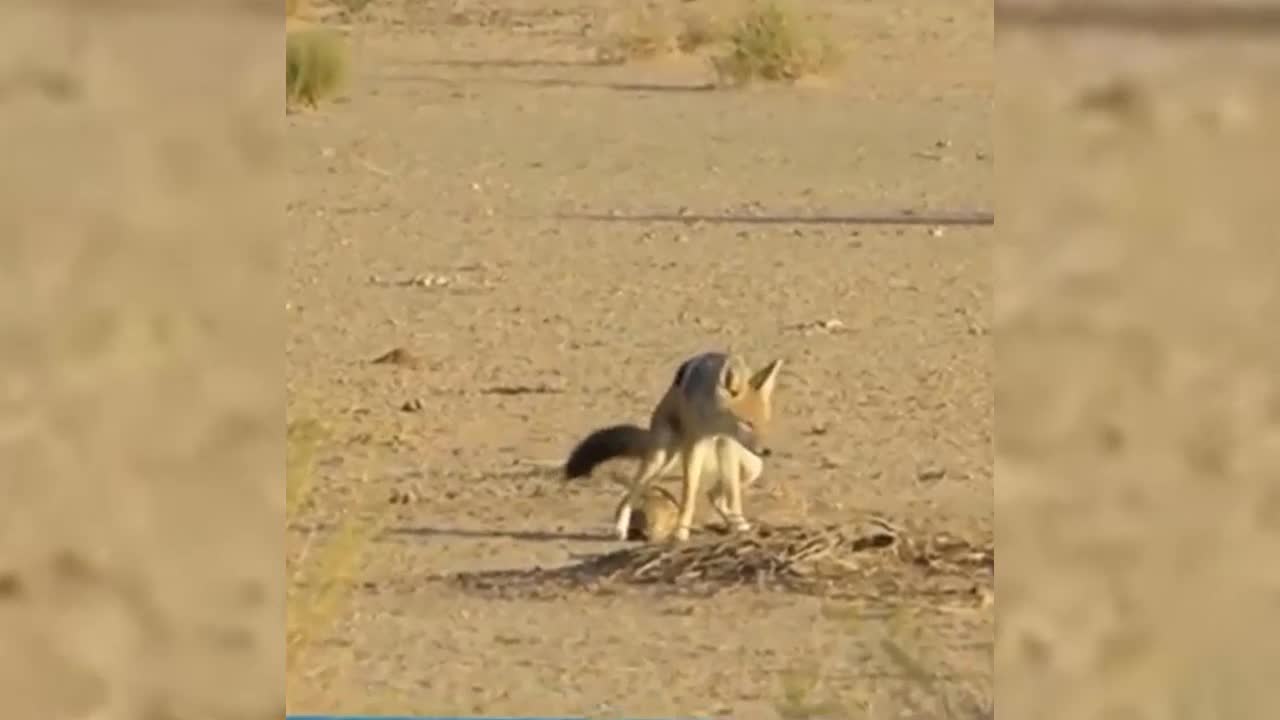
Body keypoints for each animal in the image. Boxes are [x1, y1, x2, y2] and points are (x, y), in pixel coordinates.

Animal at [565, 351, 783, 540]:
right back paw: (621, 527)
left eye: (765, 422)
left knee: (714, 495)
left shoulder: (726, 444)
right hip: (661, 462)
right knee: (632, 492)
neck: (713, 420)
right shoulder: (695, 445)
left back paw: (734, 523)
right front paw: (681, 533)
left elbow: (733, 494)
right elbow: (688, 495)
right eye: (748, 423)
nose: (767, 450)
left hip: (751, 466)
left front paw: (739, 525)